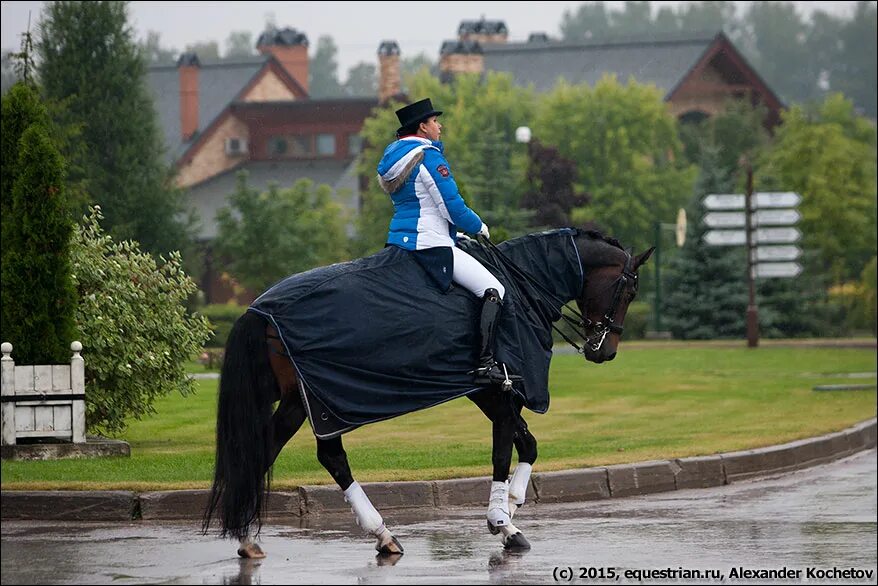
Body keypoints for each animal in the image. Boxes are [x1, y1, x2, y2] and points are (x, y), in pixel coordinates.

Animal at [201, 228, 652, 556]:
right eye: (629, 291)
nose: (605, 351)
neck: (520, 287)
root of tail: (259, 311)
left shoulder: (486, 392)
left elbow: (528, 444)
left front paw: (513, 503)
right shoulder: (497, 391)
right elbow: (505, 449)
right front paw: (502, 522)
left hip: (302, 402)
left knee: (277, 451)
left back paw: (254, 538)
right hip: (323, 404)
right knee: (325, 455)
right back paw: (377, 534)